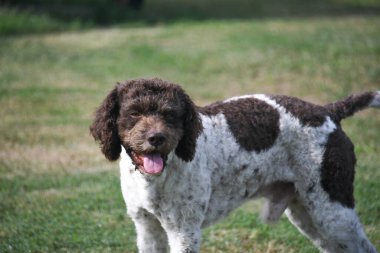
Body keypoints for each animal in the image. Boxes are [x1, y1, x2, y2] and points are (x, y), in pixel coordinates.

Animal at [90, 78, 380, 252]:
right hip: (307, 213)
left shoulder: (184, 230)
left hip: (333, 210)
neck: (157, 178)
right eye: (134, 113)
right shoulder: (147, 228)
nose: (156, 138)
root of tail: (329, 111)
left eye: (170, 114)